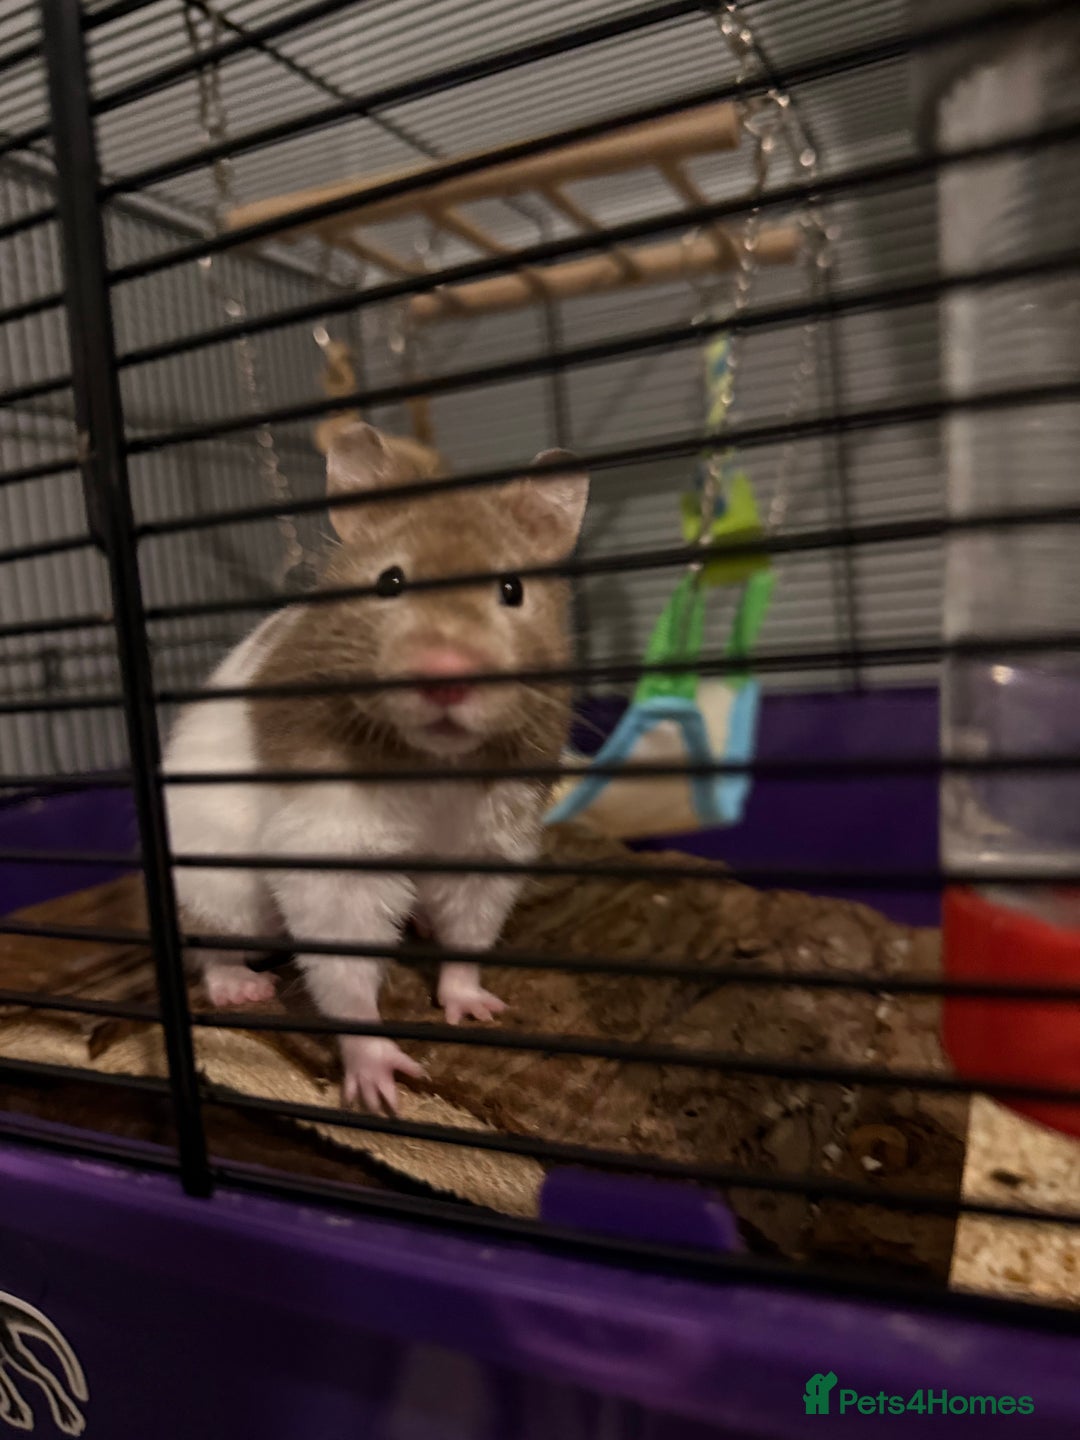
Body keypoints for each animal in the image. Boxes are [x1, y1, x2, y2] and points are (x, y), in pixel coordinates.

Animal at [163, 421, 588, 1113]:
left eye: (512, 589)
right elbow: (347, 969)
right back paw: (243, 989)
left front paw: (476, 1009)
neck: (431, 761)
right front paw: (381, 1086)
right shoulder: (335, 851)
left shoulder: (489, 845)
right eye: (389, 582)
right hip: (218, 890)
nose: (447, 675)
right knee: (209, 949)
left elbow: (469, 937)